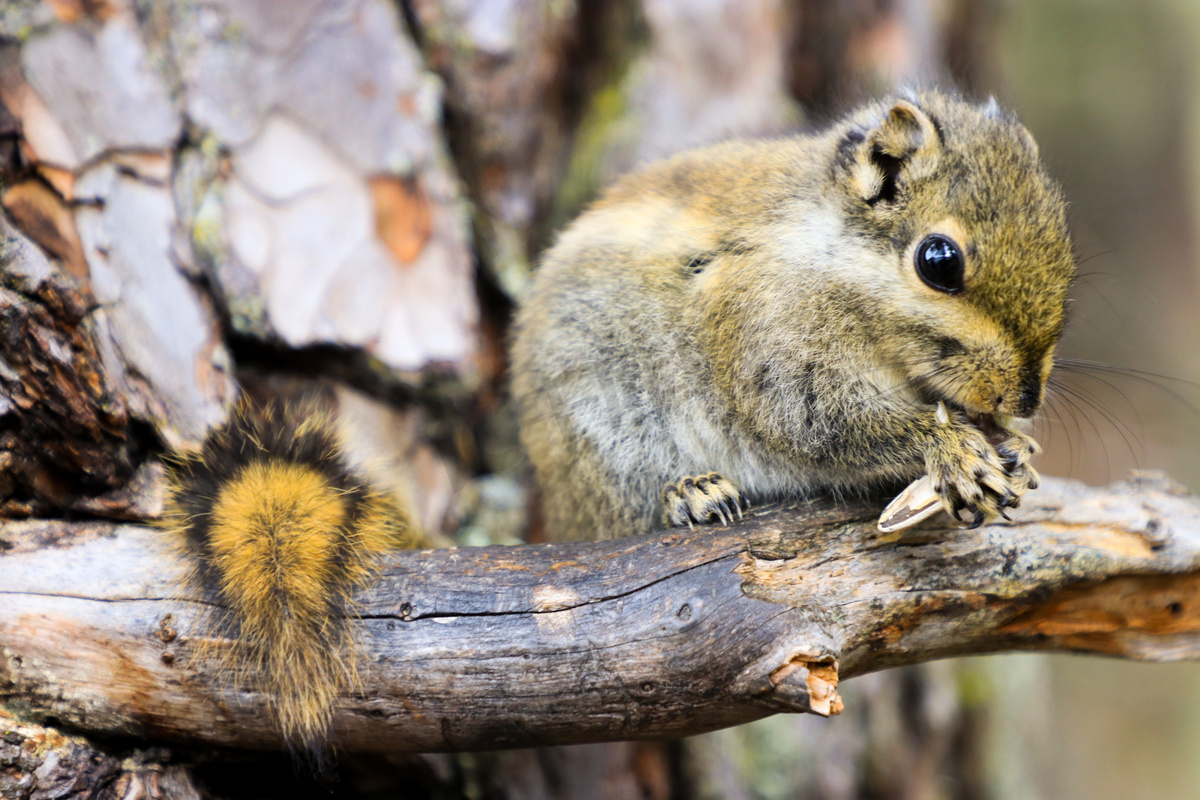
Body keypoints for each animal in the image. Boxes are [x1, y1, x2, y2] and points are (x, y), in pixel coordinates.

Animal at [162, 92, 1080, 753]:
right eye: (939, 261)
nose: (1025, 397)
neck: (830, 257)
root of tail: (557, 503)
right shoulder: (774, 347)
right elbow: (826, 426)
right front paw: (948, 447)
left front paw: (1014, 446)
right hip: (611, 431)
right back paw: (690, 495)